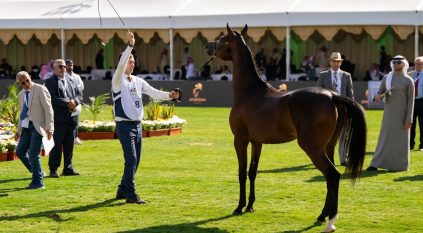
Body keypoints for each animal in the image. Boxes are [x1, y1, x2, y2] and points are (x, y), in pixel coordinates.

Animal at [207, 24, 366, 232]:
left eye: (223, 38)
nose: (208, 46)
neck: (249, 92)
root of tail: (332, 96)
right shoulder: (257, 142)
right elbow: (252, 172)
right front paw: (250, 206)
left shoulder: (240, 140)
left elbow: (241, 173)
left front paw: (239, 207)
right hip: (328, 147)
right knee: (329, 179)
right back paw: (322, 216)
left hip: (312, 148)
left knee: (333, 176)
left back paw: (330, 222)